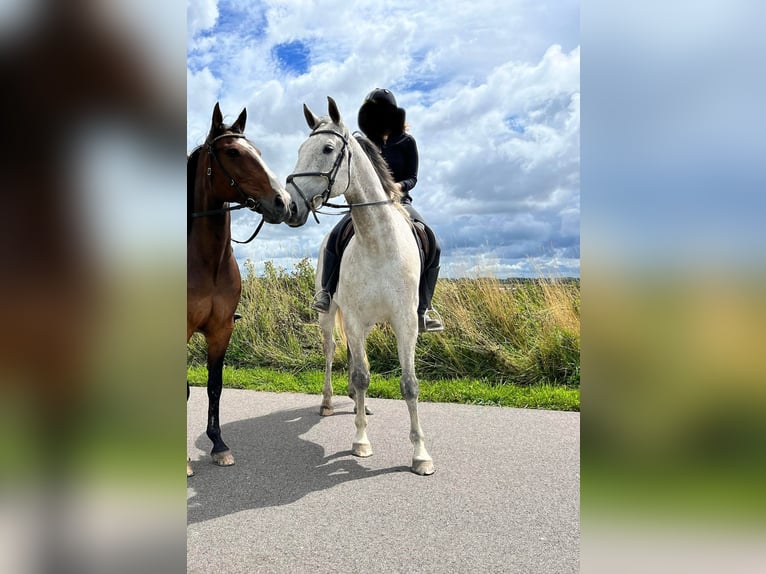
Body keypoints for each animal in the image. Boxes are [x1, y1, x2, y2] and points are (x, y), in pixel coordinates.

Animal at [188, 103, 292, 476]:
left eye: (259, 152)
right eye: (232, 152)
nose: (283, 202)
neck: (206, 262)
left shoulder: (221, 330)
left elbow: (214, 387)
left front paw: (219, 445)